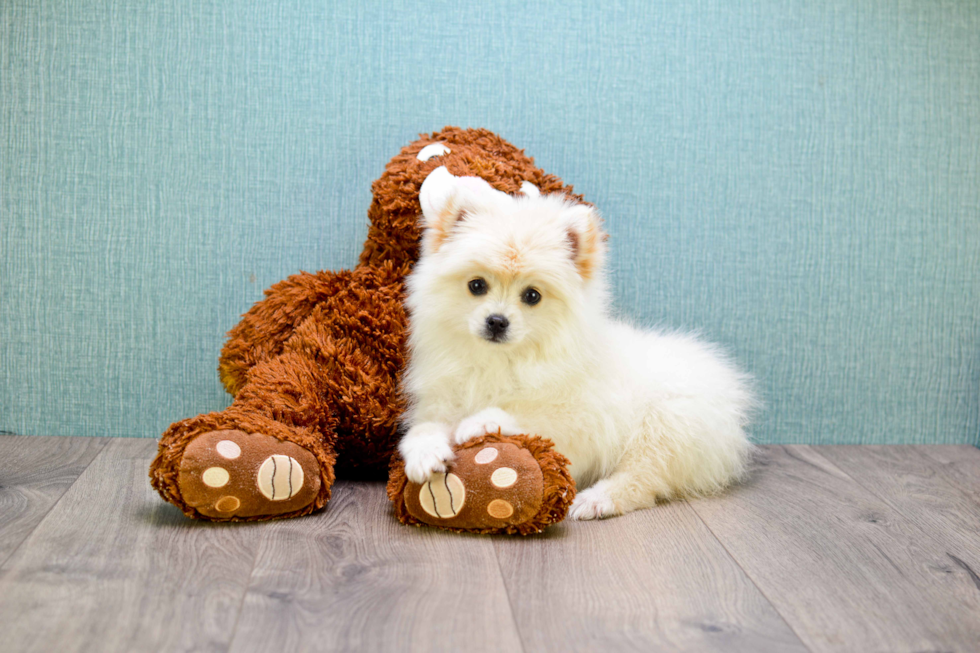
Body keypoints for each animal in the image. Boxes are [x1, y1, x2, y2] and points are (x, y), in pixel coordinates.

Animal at [394, 168, 756, 520]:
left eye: (532, 296)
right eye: (477, 285)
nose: (497, 321)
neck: (502, 360)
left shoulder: (579, 419)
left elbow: (530, 412)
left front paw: (480, 421)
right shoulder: (441, 400)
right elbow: (424, 427)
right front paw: (425, 452)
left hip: (665, 425)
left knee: (642, 478)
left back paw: (597, 500)